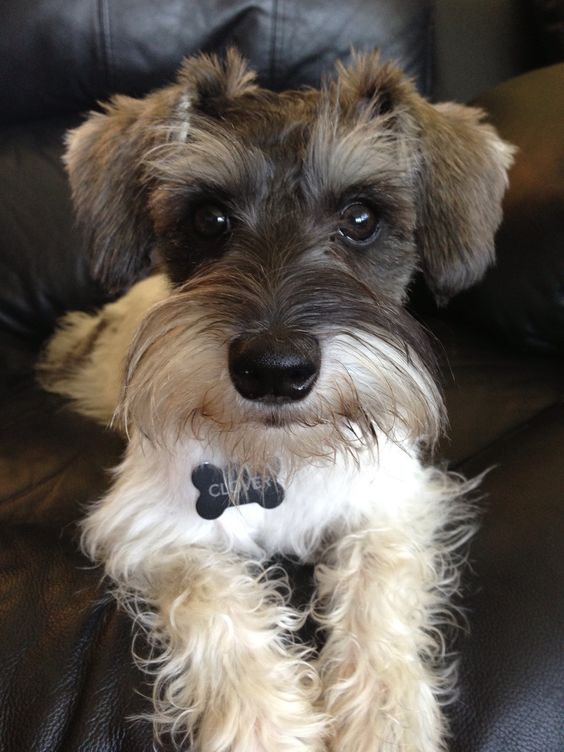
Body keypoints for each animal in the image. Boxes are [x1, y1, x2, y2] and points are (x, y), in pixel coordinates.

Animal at [38, 50, 516, 748]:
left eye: (361, 218)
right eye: (209, 218)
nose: (275, 370)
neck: (279, 456)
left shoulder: (390, 502)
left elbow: (378, 588)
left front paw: (384, 718)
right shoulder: (155, 531)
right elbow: (214, 603)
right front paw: (265, 724)